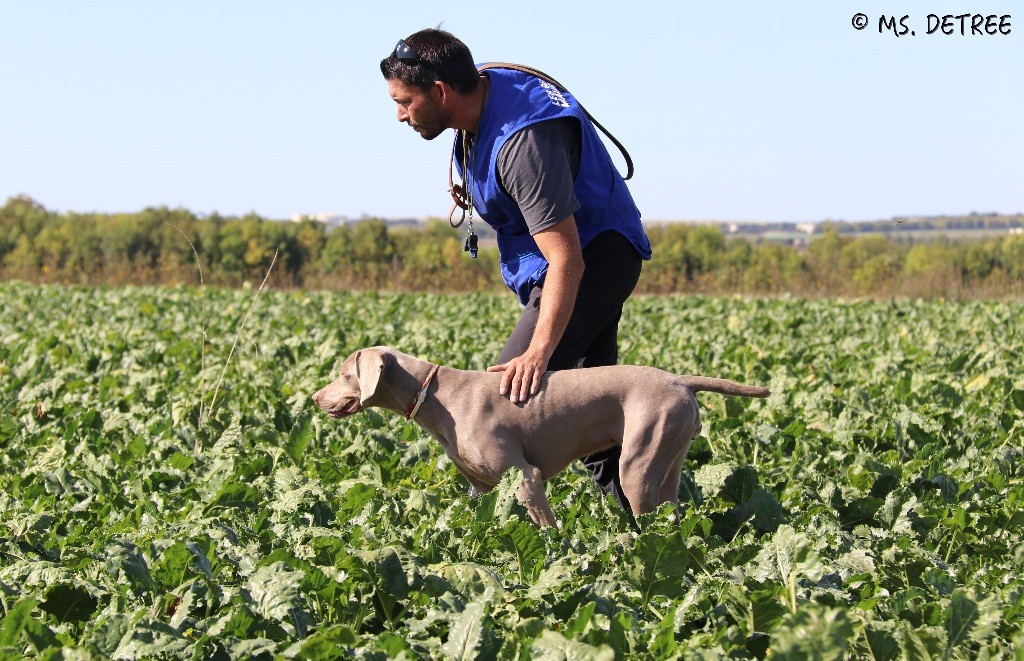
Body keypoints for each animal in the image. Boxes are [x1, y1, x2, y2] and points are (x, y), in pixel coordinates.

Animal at [311, 347, 770, 527]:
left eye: (345, 374)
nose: (314, 398)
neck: (437, 395)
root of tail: (680, 381)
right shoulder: (484, 489)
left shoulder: (526, 479)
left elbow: (549, 530)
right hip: (668, 463)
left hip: (637, 467)